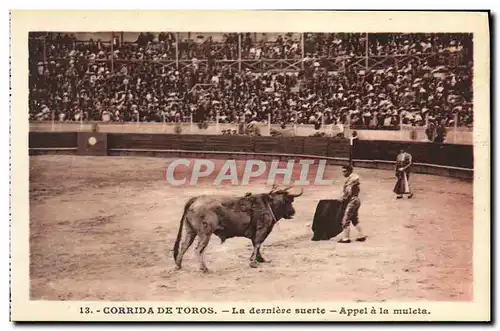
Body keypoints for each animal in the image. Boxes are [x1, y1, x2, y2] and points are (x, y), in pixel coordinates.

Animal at [172, 187, 304, 272]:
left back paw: (178, 265)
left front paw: (260, 259)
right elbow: (258, 244)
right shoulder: (262, 230)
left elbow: (257, 245)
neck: (268, 204)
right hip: (205, 233)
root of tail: (196, 199)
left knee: (184, 246)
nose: (293, 212)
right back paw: (204, 268)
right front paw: (253, 263)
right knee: (198, 249)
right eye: (289, 201)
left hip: (190, 232)